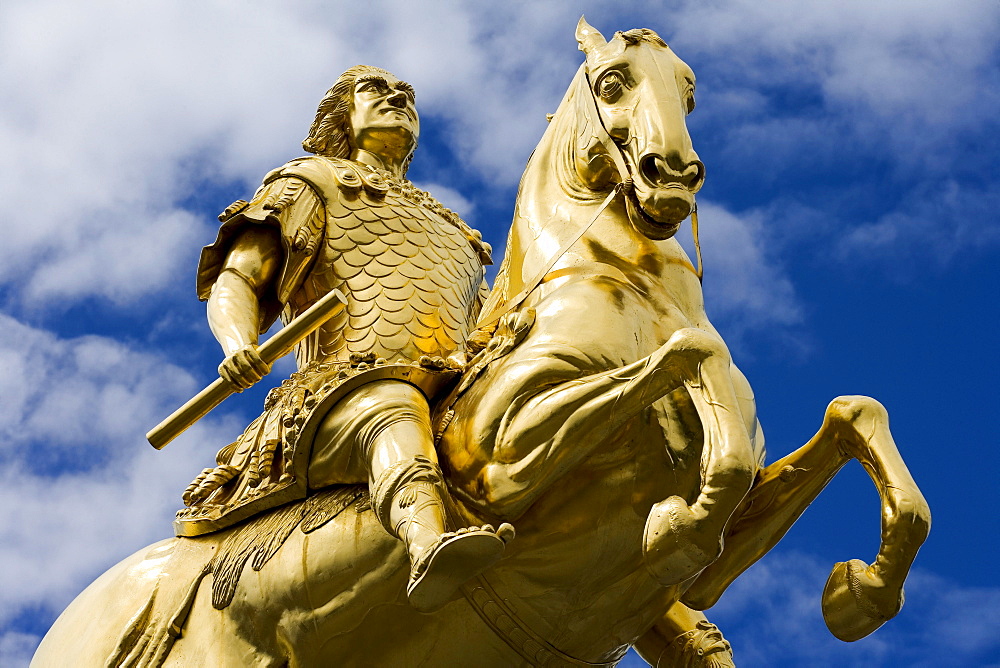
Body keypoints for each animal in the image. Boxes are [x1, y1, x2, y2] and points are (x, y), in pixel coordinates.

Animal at [35, 18, 932, 664]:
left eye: (689, 87)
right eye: (614, 82)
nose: (670, 175)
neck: (619, 287)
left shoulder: (702, 575)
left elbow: (855, 414)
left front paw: (861, 591)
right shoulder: (505, 454)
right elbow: (689, 359)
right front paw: (680, 519)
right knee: (384, 419)